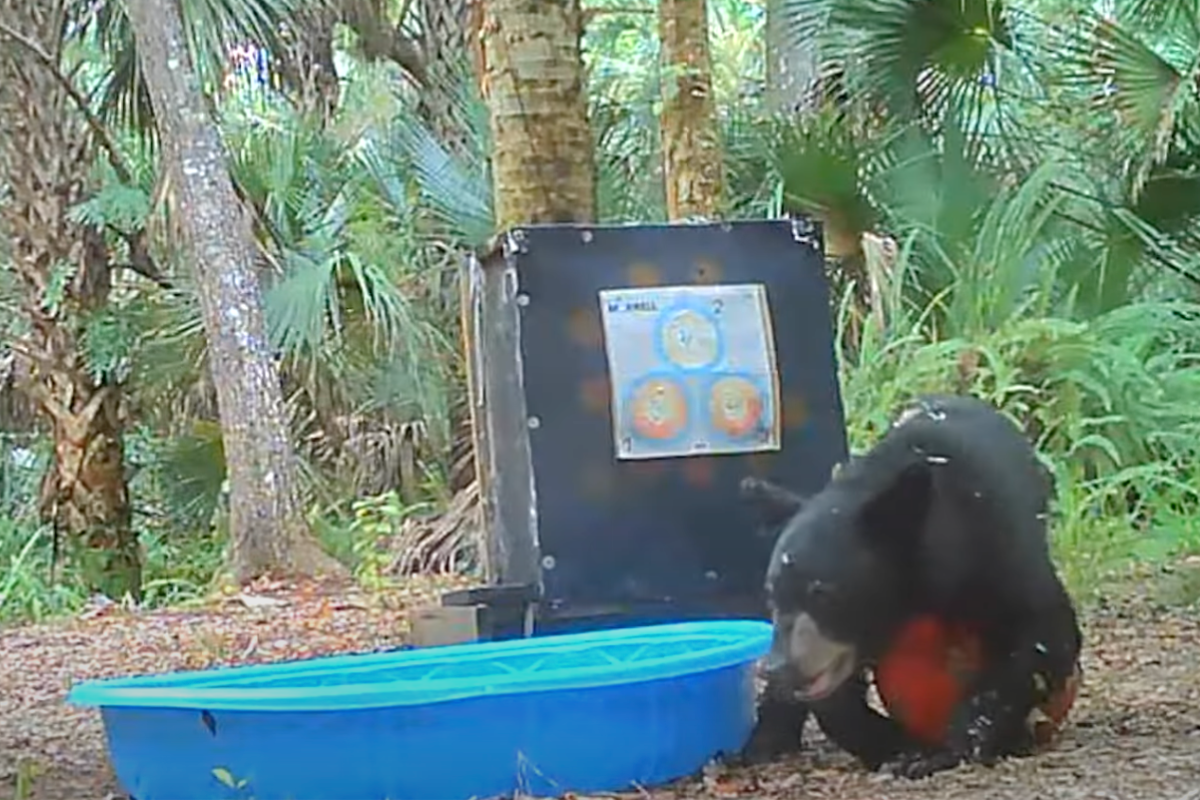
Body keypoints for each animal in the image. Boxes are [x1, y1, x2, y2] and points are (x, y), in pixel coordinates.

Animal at [734, 398, 1084, 777]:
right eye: (771, 594)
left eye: (823, 591)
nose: (776, 667)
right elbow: (835, 700)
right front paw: (894, 742)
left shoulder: (998, 550)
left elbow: (1043, 639)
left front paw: (948, 745)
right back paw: (767, 738)